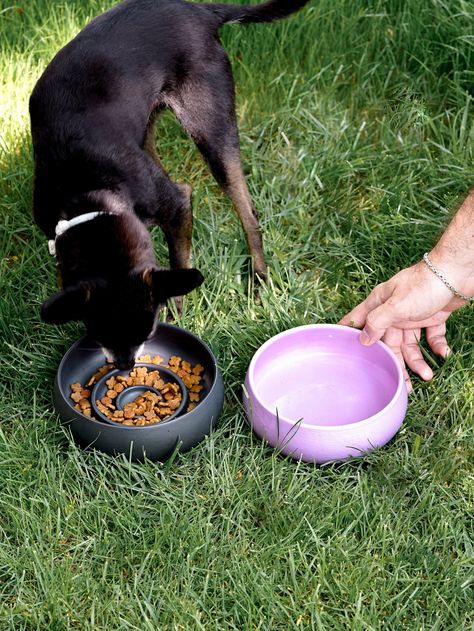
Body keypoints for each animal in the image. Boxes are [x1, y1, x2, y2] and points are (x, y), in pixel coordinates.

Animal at [30, 0, 312, 370]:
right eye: (97, 333)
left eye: (148, 332)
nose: (125, 367)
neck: (88, 189)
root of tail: (199, 10)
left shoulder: (177, 204)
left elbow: (179, 261)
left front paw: (178, 315)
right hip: (148, 128)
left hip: (211, 128)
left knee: (249, 214)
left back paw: (259, 281)